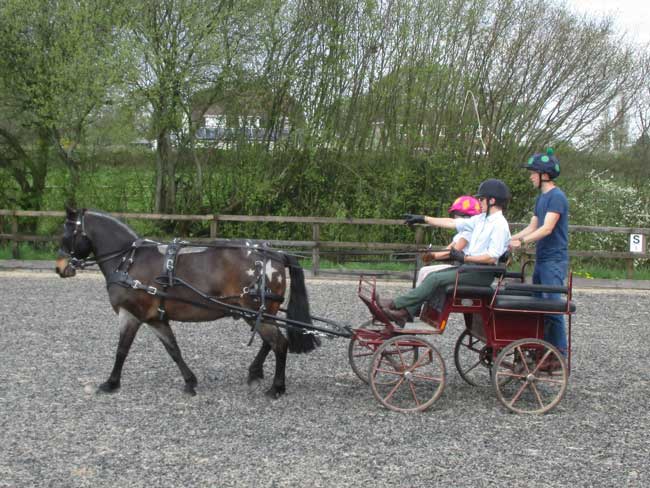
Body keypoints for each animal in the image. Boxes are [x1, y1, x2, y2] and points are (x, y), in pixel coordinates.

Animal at [53, 208, 318, 398]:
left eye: (66, 234)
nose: (60, 268)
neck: (128, 260)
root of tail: (275, 253)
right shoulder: (155, 319)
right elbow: (173, 350)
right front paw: (190, 381)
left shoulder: (130, 315)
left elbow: (122, 350)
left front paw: (111, 383)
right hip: (258, 313)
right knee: (268, 343)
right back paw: (255, 372)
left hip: (254, 313)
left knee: (279, 344)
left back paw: (277, 387)